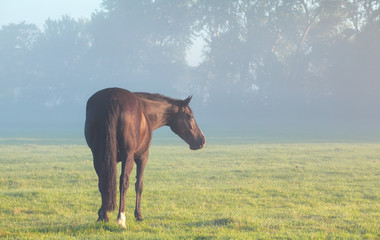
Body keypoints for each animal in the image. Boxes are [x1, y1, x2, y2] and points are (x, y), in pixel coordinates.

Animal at [85, 87, 206, 227]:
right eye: (190, 116)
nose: (202, 140)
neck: (145, 110)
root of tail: (112, 98)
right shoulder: (142, 157)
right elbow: (139, 185)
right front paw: (138, 215)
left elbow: (108, 183)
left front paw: (103, 213)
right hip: (128, 156)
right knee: (124, 182)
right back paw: (121, 218)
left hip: (98, 156)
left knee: (103, 182)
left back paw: (103, 216)